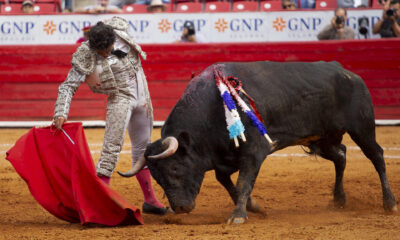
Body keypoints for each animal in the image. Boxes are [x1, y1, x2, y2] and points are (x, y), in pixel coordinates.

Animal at [118, 61, 396, 224]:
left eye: (176, 168)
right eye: (157, 178)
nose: (181, 208)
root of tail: (349, 74)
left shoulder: (253, 151)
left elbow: (242, 183)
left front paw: (238, 217)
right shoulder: (223, 160)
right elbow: (229, 184)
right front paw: (255, 207)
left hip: (362, 128)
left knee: (377, 156)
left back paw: (389, 203)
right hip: (322, 139)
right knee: (341, 155)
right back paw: (339, 199)